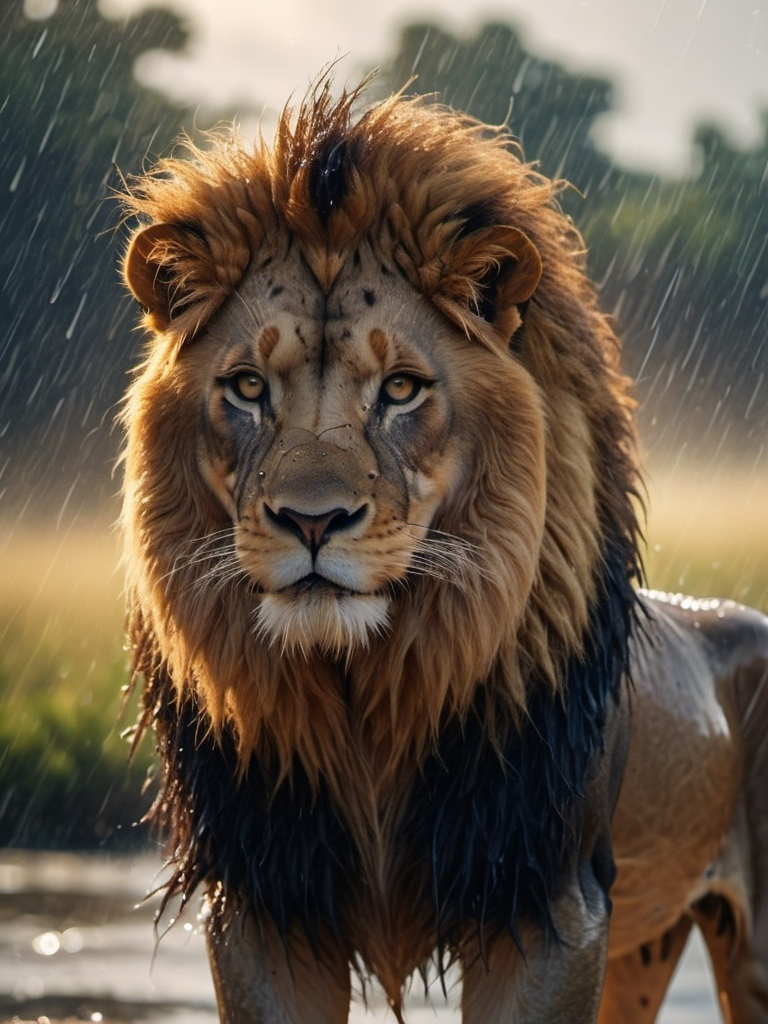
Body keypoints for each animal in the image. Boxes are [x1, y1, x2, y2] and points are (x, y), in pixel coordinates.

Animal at [118, 81, 768, 1024]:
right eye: (246, 387)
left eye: (400, 389)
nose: (313, 521)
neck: (365, 697)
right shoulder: (264, 900)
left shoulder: (551, 899)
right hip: (642, 956)